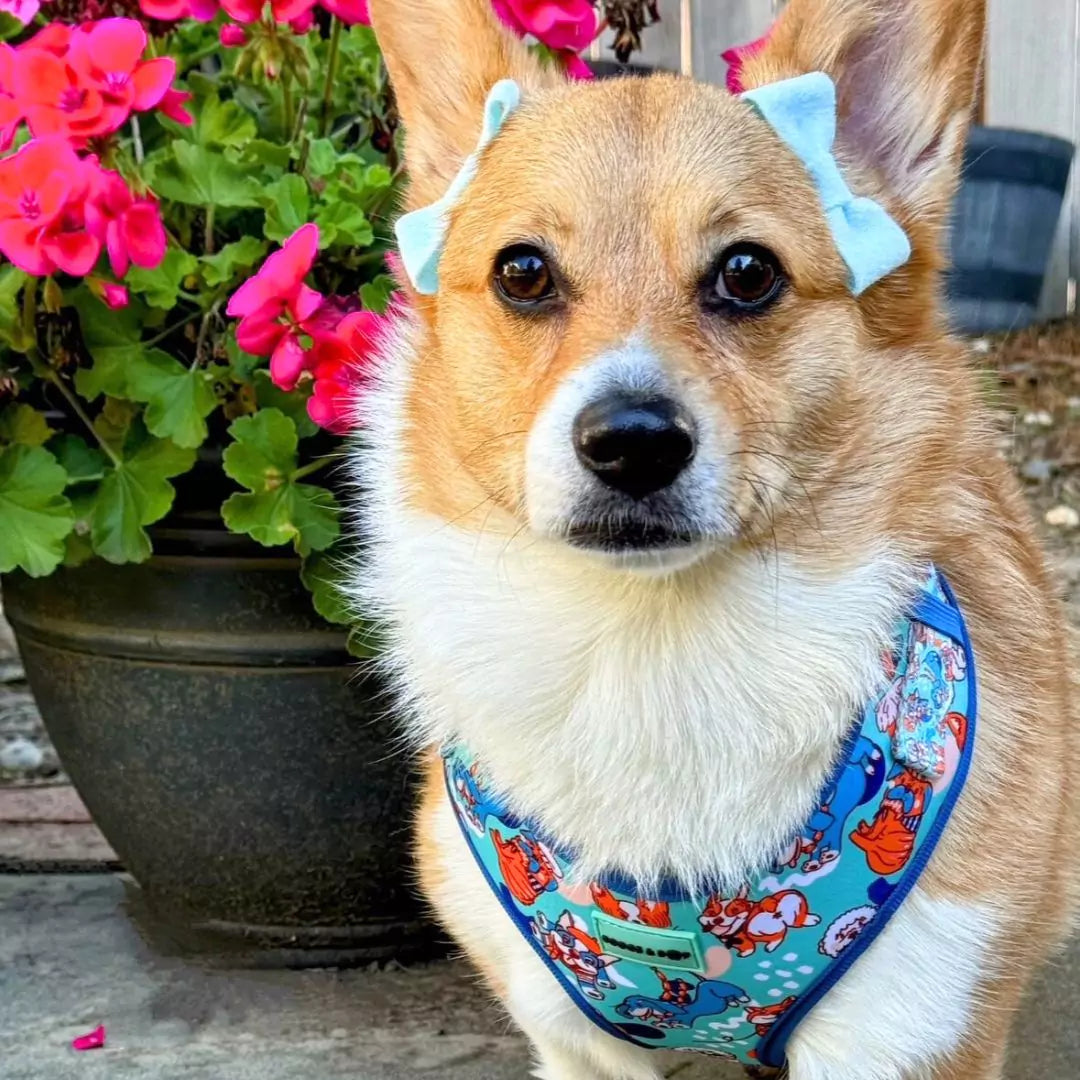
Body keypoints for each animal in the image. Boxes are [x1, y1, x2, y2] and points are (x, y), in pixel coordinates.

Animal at [349, 0, 1075, 1071]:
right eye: (522, 272)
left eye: (747, 273)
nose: (632, 442)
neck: (649, 647)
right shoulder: (577, 1042)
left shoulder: (906, 1030)